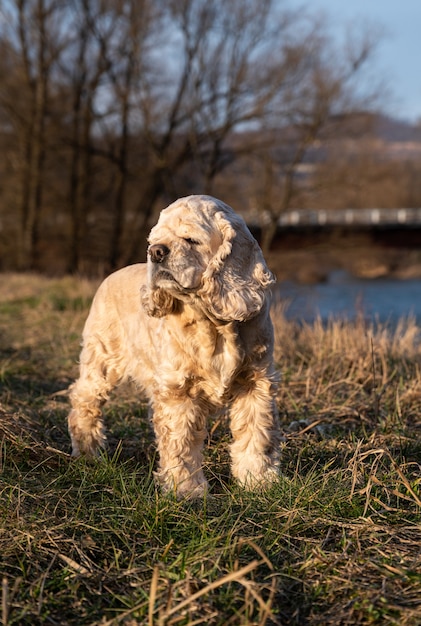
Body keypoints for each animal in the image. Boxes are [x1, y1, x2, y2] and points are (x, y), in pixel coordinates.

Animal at [68, 193, 278, 494]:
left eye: (190, 239)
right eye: (153, 240)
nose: (155, 252)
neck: (213, 323)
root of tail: (110, 275)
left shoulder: (256, 381)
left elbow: (256, 434)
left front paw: (258, 480)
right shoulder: (179, 390)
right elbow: (180, 444)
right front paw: (186, 490)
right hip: (102, 358)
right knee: (83, 399)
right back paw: (86, 451)